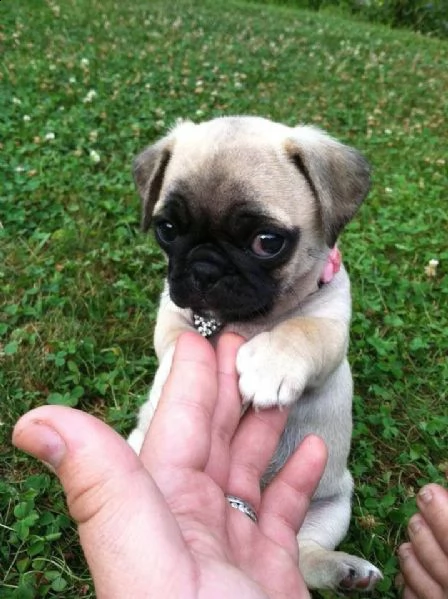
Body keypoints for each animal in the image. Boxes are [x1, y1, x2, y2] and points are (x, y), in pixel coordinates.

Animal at [128, 115, 384, 592]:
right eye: (167, 231)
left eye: (268, 242)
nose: (203, 269)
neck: (247, 320)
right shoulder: (171, 310)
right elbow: (180, 341)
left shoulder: (330, 324)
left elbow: (301, 330)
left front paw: (269, 363)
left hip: (333, 505)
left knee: (302, 554)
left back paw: (343, 570)